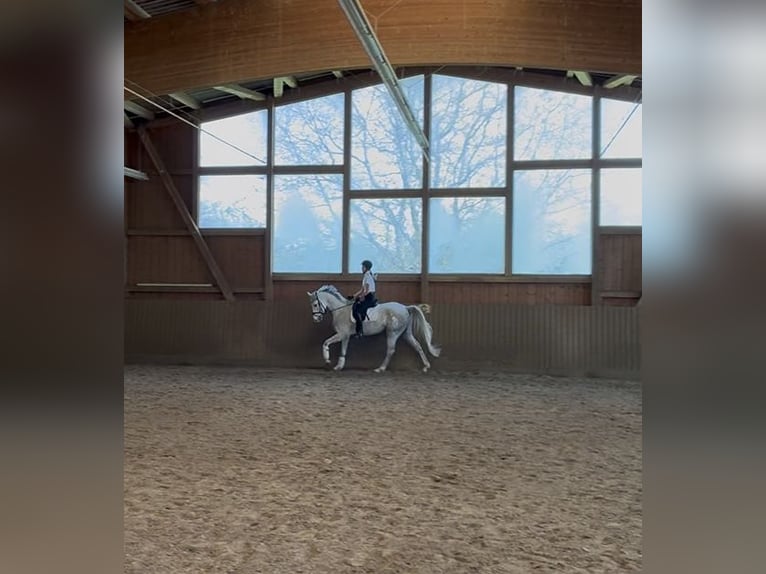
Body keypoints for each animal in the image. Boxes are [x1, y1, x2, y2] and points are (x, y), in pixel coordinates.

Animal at [307, 285, 441, 372]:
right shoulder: (345, 336)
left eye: (315, 304)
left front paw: (329, 361)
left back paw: (380, 368)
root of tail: (405, 308)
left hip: (392, 332)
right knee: (417, 346)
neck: (340, 310)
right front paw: (337, 365)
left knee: (391, 350)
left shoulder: (342, 334)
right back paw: (426, 366)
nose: (316, 319)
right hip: (405, 333)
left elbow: (327, 343)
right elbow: (340, 349)